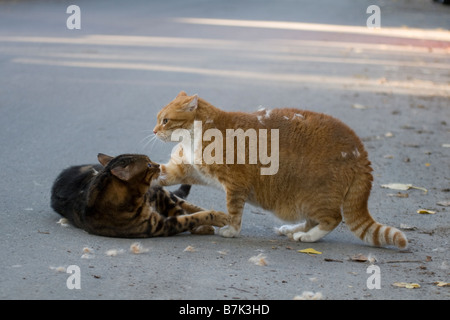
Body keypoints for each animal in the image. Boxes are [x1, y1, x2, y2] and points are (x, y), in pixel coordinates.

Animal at [51, 152, 230, 238]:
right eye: (149, 165)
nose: (159, 165)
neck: (137, 199)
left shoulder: (160, 196)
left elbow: (184, 211)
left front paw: (211, 221)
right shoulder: (162, 226)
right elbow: (190, 218)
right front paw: (214, 219)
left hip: (161, 191)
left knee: (186, 204)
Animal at [151, 91, 408, 249]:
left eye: (165, 121)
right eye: (158, 119)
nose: (153, 131)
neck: (195, 135)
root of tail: (360, 152)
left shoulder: (235, 184)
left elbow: (234, 211)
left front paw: (231, 230)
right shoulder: (184, 170)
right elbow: (160, 175)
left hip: (314, 197)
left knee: (332, 219)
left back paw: (307, 237)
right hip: (305, 201)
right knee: (314, 220)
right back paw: (292, 230)